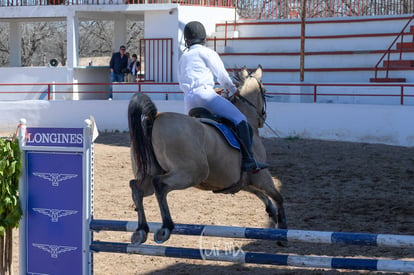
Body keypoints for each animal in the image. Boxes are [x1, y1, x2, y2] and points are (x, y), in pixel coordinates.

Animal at [128, 66, 286, 245]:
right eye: (264, 91)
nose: (262, 119)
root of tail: (154, 118)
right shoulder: (261, 175)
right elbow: (278, 197)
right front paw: (282, 231)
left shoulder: (241, 182)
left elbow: (261, 195)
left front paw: (271, 212)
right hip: (191, 174)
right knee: (159, 185)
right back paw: (166, 226)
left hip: (150, 175)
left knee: (137, 188)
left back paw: (141, 229)